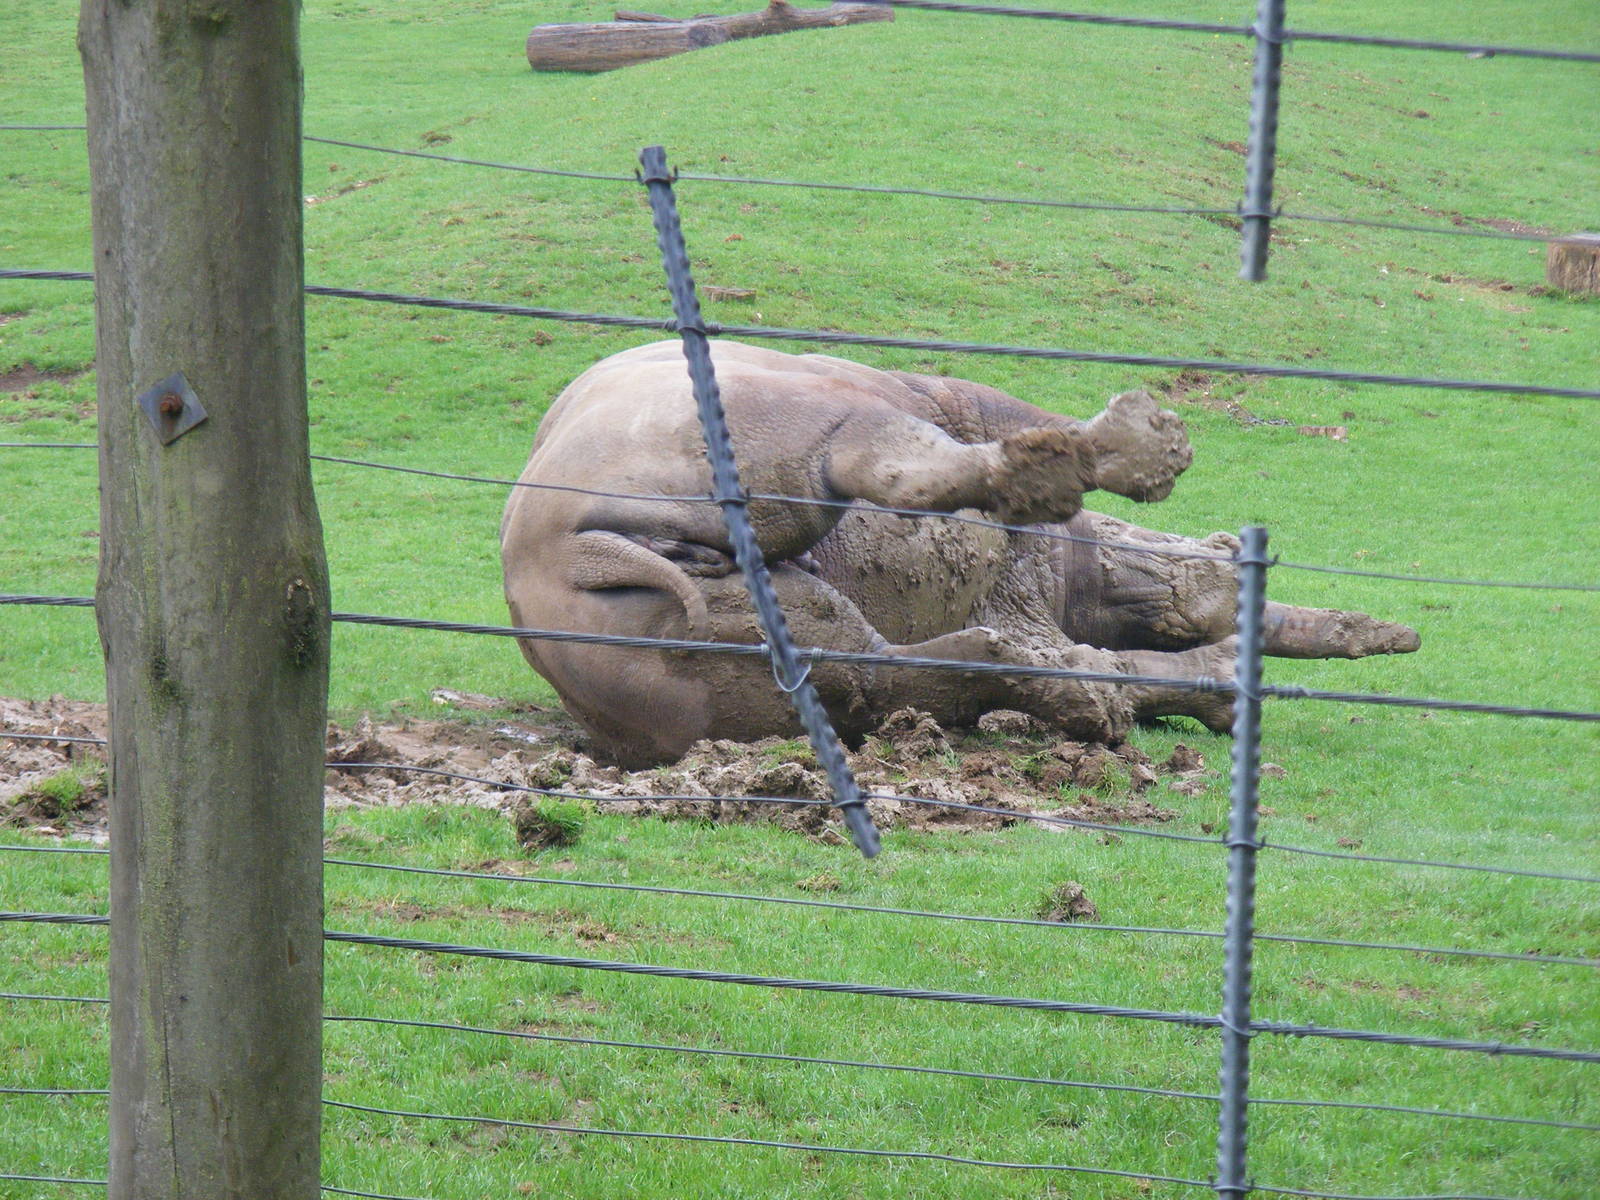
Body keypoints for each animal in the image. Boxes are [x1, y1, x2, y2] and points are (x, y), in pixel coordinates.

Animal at [501, 341, 1418, 767]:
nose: (1225, 560)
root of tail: (558, 553)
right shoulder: (965, 407)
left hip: (749, 636)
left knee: (895, 671)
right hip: (763, 425)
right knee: (873, 458)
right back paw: (1138, 447)